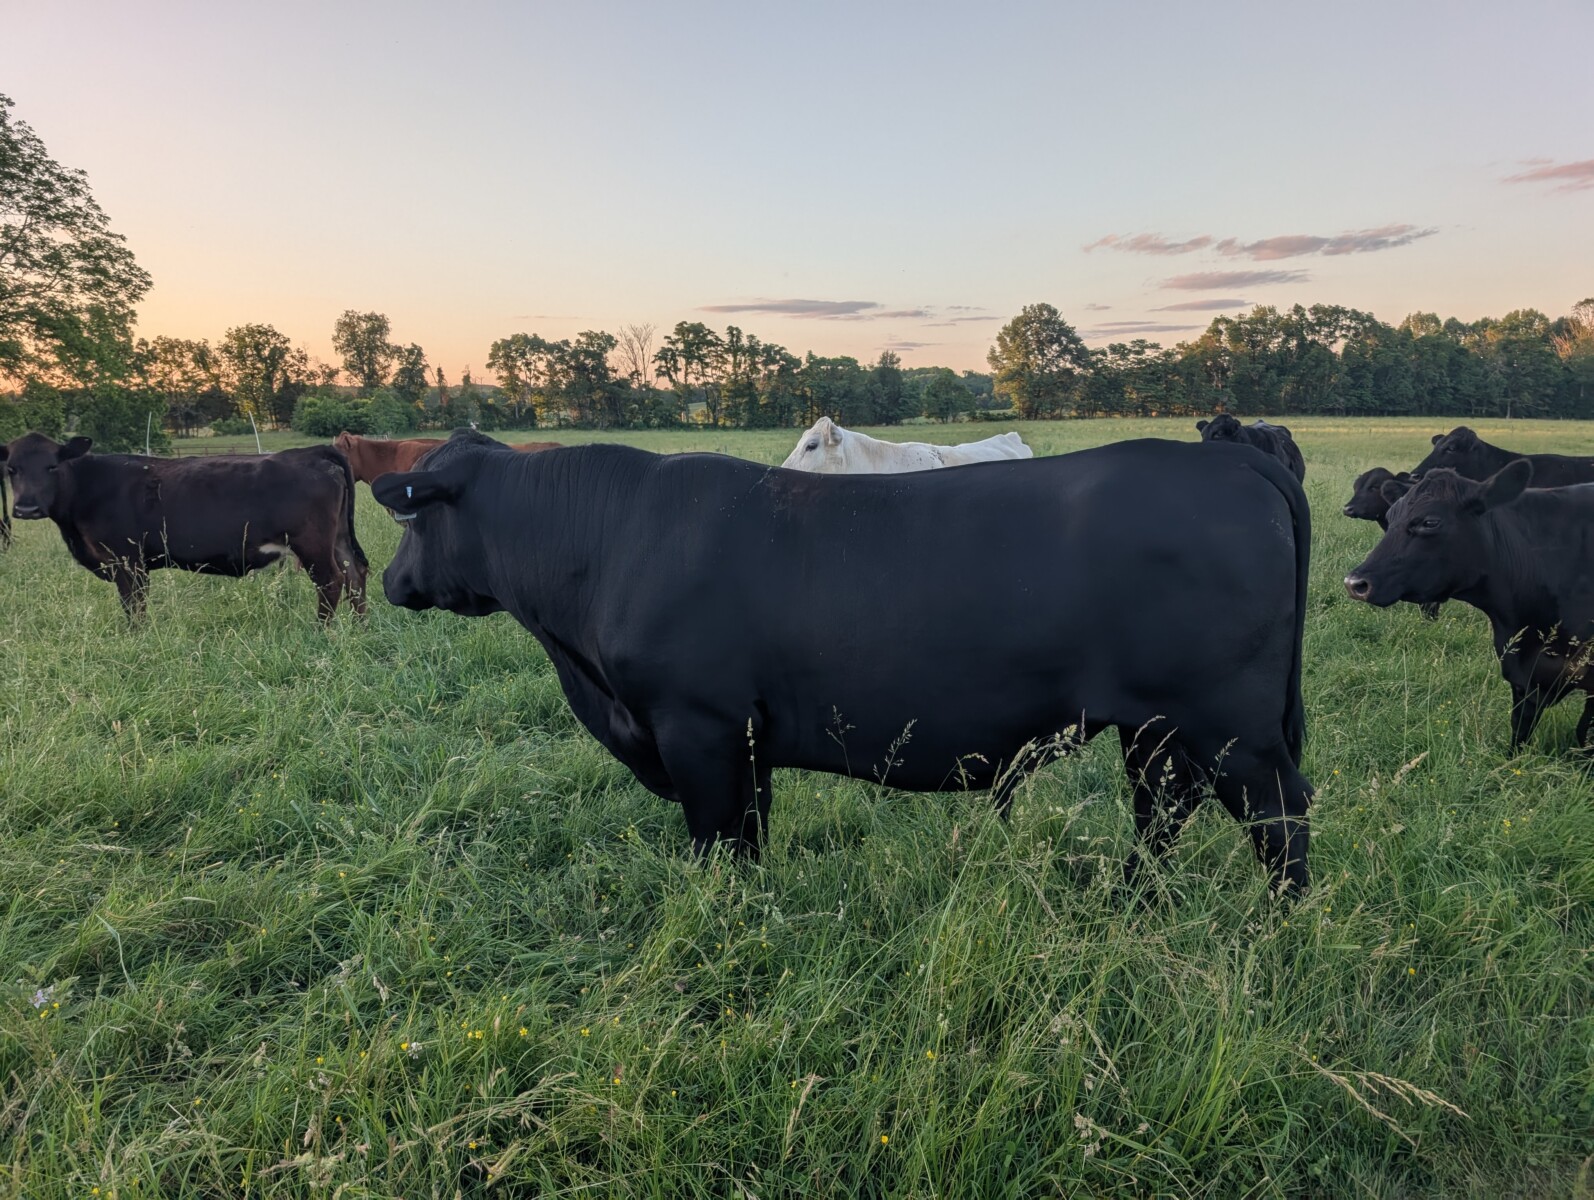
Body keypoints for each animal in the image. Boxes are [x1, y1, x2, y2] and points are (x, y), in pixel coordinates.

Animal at [0, 433, 368, 621]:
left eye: (52, 466)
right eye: (11, 469)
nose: (26, 507)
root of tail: (310, 452)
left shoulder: (128, 560)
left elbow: (134, 607)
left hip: (312, 545)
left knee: (332, 581)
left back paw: (322, 630)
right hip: (337, 539)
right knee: (355, 573)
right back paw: (359, 624)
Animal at [374, 429, 1314, 894]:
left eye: (411, 517)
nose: (389, 581)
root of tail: (1231, 457)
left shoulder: (697, 727)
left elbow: (716, 842)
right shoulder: (743, 738)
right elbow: (749, 835)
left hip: (1230, 726)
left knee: (1277, 817)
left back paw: (1282, 928)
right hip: (1155, 726)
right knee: (1163, 810)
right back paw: (1131, 903)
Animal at [1344, 461, 1594, 754]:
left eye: (1430, 522)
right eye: (1391, 515)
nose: (1355, 583)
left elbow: (1583, 733)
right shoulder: (1521, 675)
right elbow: (1520, 729)